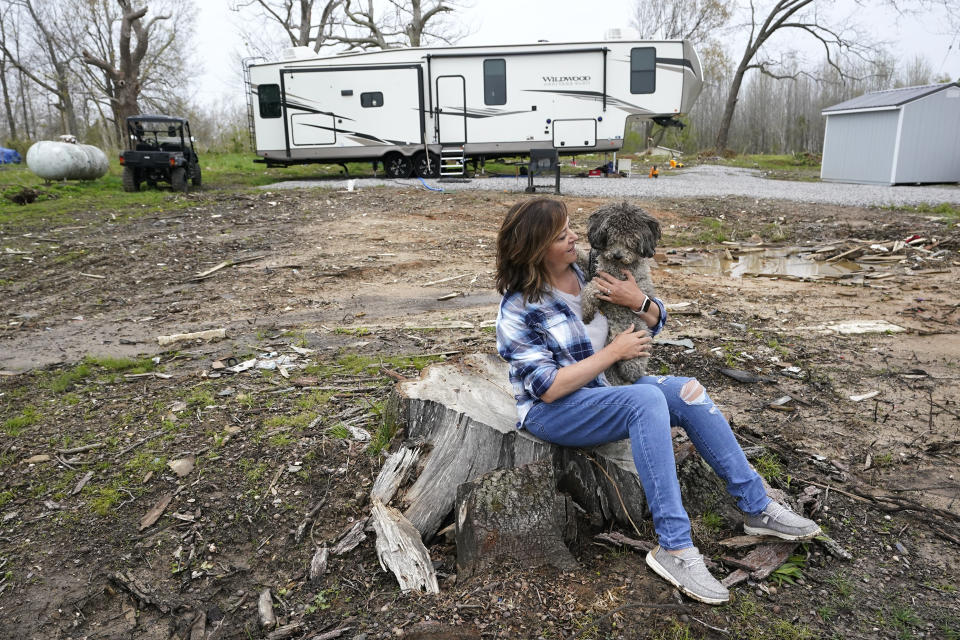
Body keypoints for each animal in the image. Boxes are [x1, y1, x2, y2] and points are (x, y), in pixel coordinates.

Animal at [576, 201, 660, 384]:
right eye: (611, 235)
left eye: (632, 240)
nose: (617, 255)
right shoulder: (592, 270)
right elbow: (582, 259)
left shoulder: (613, 282)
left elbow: (591, 288)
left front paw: (587, 311)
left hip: (635, 348)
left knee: (631, 372)